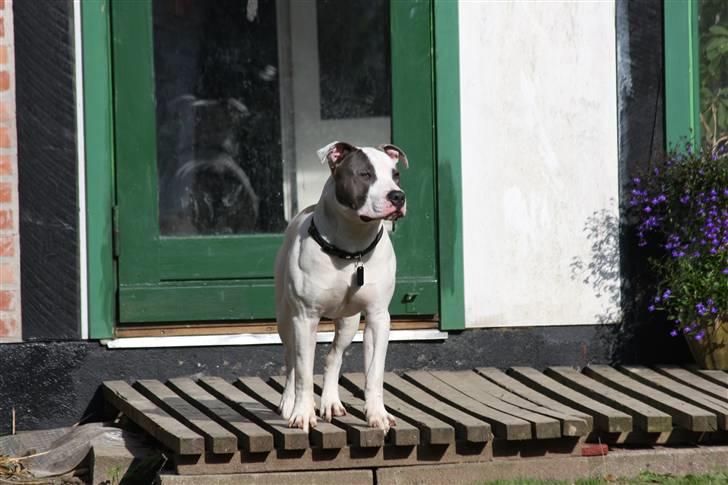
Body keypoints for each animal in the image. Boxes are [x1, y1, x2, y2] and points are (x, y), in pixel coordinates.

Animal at [274, 140, 406, 432]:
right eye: (365, 174)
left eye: (395, 175)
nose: (398, 196)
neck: (351, 248)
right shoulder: (305, 318)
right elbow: (303, 372)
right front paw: (302, 413)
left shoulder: (378, 317)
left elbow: (374, 373)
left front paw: (377, 414)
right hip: (286, 320)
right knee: (290, 359)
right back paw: (288, 403)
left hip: (348, 322)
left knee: (333, 356)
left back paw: (331, 402)